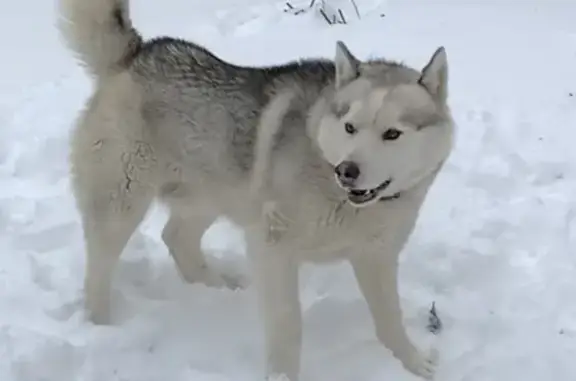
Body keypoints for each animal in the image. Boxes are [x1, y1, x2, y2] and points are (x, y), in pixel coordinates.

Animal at [58, 0, 454, 378]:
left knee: (176, 237)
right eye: (350, 127)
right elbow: (288, 323)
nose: (347, 171)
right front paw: (282, 375)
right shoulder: (273, 246)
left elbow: (390, 319)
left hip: (212, 194)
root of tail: (138, 53)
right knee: (99, 271)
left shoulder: (377, 256)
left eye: (392, 134)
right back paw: (101, 328)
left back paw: (216, 285)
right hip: (122, 204)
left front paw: (411, 362)